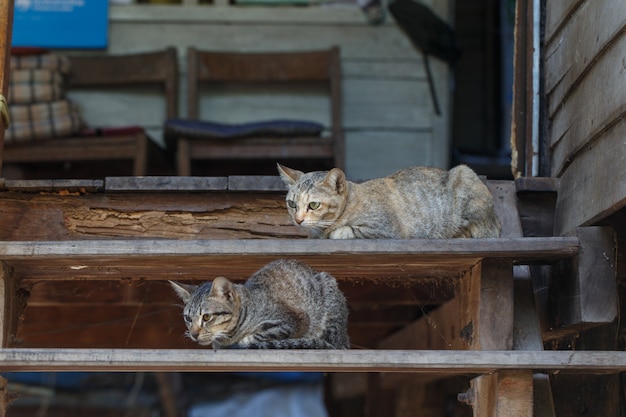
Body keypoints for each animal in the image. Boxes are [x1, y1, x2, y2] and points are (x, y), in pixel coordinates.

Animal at [168, 258, 348, 350]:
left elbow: (257, 335)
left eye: (206, 317)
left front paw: (244, 340)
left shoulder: (290, 322)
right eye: (188, 318)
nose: (193, 334)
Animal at [276, 164, 500, 239]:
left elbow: (344, 230)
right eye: (292, 204)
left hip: (464, 173)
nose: (298, 220)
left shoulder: (385, 229)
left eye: (313, 205)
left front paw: (335, 232)